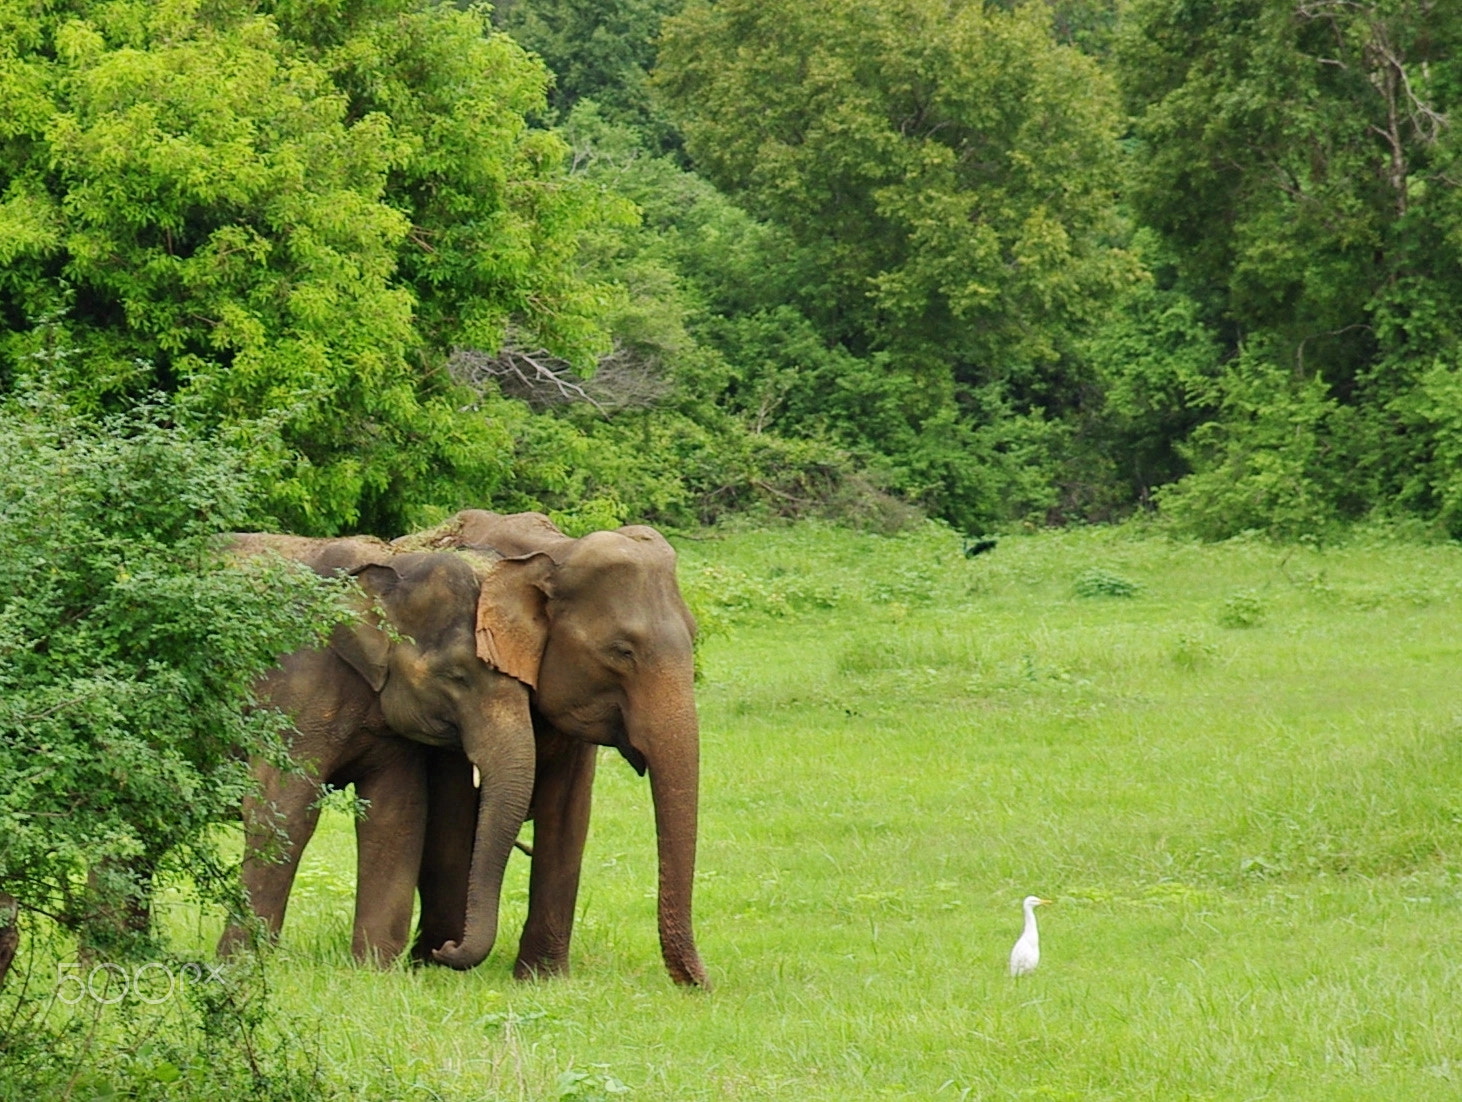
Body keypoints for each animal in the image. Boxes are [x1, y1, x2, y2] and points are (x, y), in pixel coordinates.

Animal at [216, 537, 552, 964]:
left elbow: (396, 817)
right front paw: (239, 964)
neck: (390, 567)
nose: (444, 948)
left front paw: (372, 967)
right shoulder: (295, 691)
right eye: (457, 677)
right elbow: (281, 809)